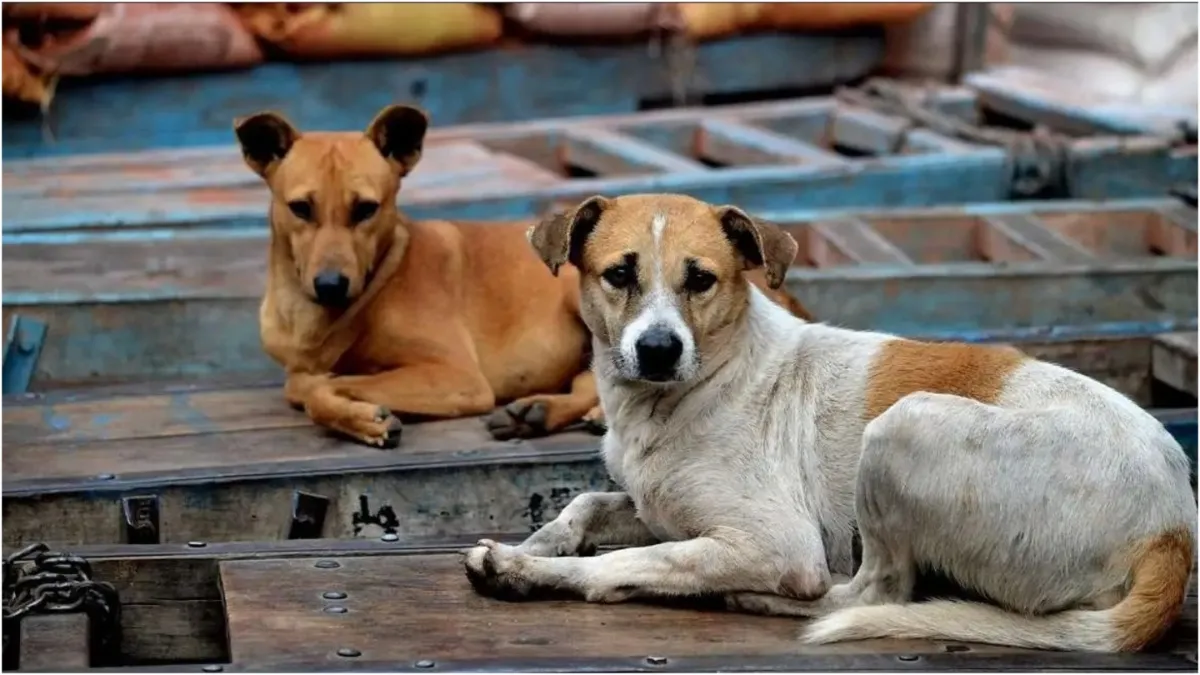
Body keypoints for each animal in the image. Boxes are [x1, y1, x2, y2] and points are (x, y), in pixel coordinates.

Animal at [234, 106, 813, 447]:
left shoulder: (457, 378)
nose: (331, 285)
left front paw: (360, 414)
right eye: (301, 208)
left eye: (366, 209)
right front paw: (357, 413)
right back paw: (540, 410)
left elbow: (310, 385)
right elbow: (306, 380)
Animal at [463, 192, 1196, 653]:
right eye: (619, 274)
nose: (659, 350)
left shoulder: (773, 541)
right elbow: (586, 504)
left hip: (903, 427)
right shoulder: (663, 508)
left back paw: (761, 600)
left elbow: (623, 564)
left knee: (873, 592)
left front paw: (525, 570)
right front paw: (541, 543)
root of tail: (1172, 530)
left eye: (701, 279)